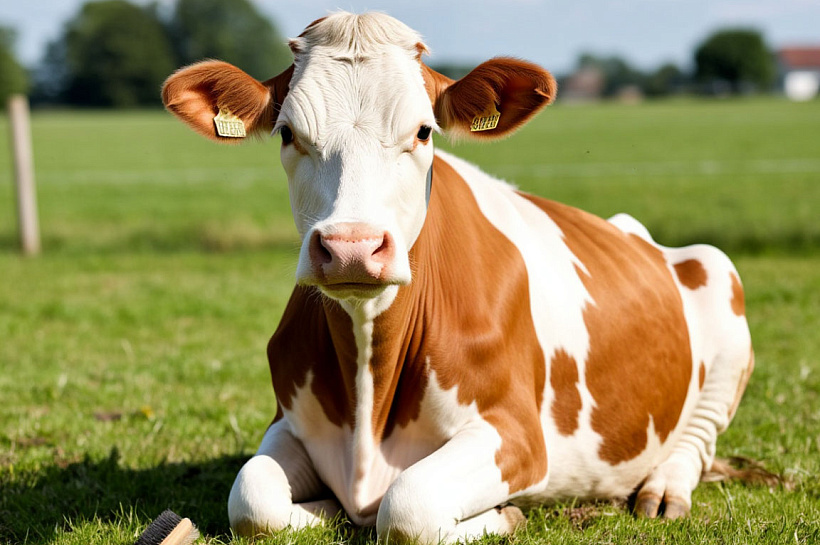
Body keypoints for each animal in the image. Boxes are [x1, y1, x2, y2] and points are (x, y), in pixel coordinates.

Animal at [161, 11, 754, 544]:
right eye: (288, 133)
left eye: (424, 131)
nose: (351, 248)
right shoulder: (288, 420)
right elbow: (253, 501)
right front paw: (325, 509)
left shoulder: (517, 435)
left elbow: (408, 506)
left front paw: (503, 516)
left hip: (721, 288)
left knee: (695, 440)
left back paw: (663, 492)